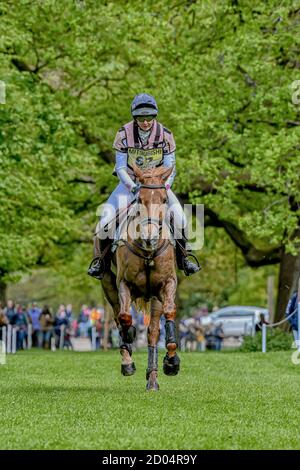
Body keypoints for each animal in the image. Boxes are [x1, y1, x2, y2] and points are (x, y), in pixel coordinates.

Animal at [101, 163, 180, 392]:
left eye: (164, 199)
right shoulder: (123, 284)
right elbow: (125, 318)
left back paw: (152, 379)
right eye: (139, 200)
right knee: (118, 316)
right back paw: (127, 361)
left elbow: (169, 315)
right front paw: (129, 338)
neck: (148, 253)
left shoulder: (166, 284)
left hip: (154, 297)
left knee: (153, 332)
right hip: (107, 284)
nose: (150, 238)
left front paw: (171, 362)